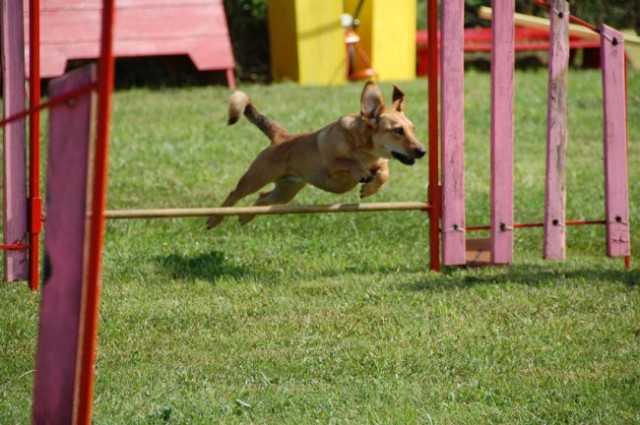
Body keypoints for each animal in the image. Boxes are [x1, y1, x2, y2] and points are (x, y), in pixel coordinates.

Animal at [206, 79, 424, 227]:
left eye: (413, 129)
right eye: (397, 130)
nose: (422, 151)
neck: (365, 150)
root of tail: (281, 137)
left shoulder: (379, 162)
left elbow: (384, 172)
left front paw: (370, 188)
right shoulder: (330, 168)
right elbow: (347, 162)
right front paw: (362, 173)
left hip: (285, 191)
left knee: (262, 197)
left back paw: (245, 216)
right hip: (256, 177)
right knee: (235, 194)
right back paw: (214, 218)